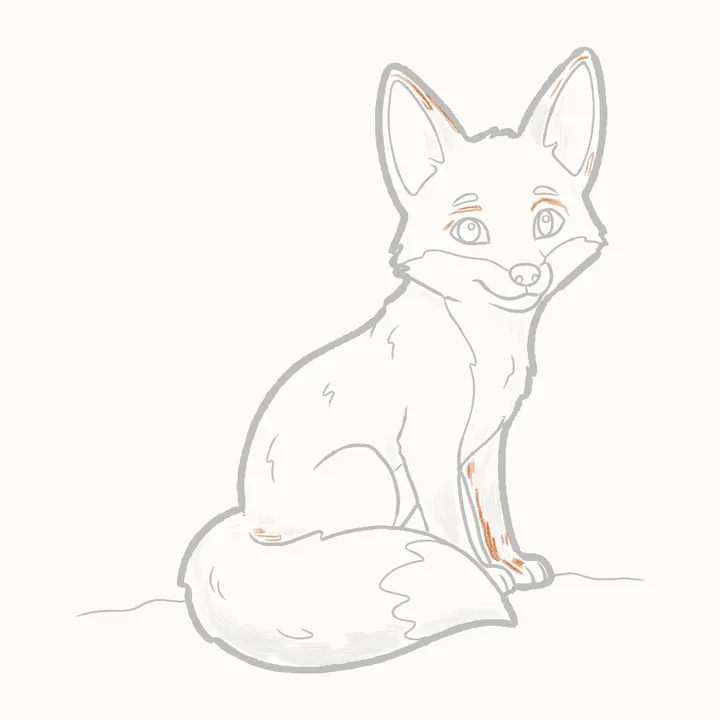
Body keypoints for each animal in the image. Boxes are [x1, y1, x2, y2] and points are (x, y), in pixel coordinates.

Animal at [179, 47, 608, 672]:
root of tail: (246, 523)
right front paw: (484, 576)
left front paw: (511, 565)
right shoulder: (428, 448)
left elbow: (495, 517)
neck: (484, 347)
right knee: (344, 551)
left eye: (545, 222)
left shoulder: (484, 447)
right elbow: (454, 531)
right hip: (372, 471)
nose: (527, 274)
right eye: (471, 230)